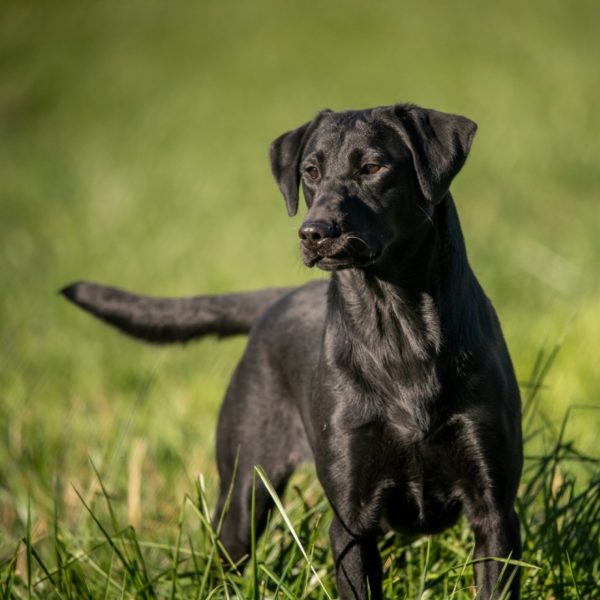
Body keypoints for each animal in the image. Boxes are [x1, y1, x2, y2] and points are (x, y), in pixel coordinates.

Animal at [59, 105, 520, 596]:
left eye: (373, 167)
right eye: (310, 171)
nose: (313, 233)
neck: (399, 328)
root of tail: (278, 299)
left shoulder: (495, 512)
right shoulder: (351, 521)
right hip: (242, 492)